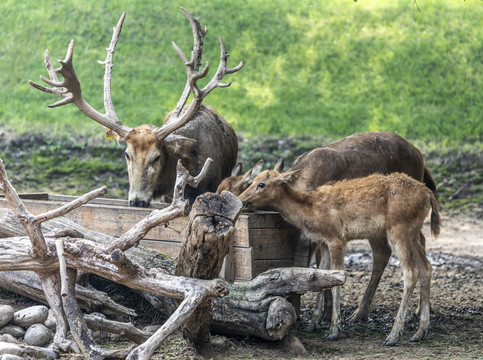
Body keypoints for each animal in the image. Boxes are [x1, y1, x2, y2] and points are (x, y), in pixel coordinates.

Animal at [239, 170, 442, 344]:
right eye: (253, 180)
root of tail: (428, 195)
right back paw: (420, 331)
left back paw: (393, 335)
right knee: (426, 267)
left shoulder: (337, 238)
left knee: (411, 271)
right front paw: (313, 324)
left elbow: (337, 281)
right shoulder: (325, 243)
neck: (312, 213)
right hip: (412, 233)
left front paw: (334, 330)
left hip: (398, 229)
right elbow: (321, 277)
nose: (241, 199)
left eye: (261, 184)